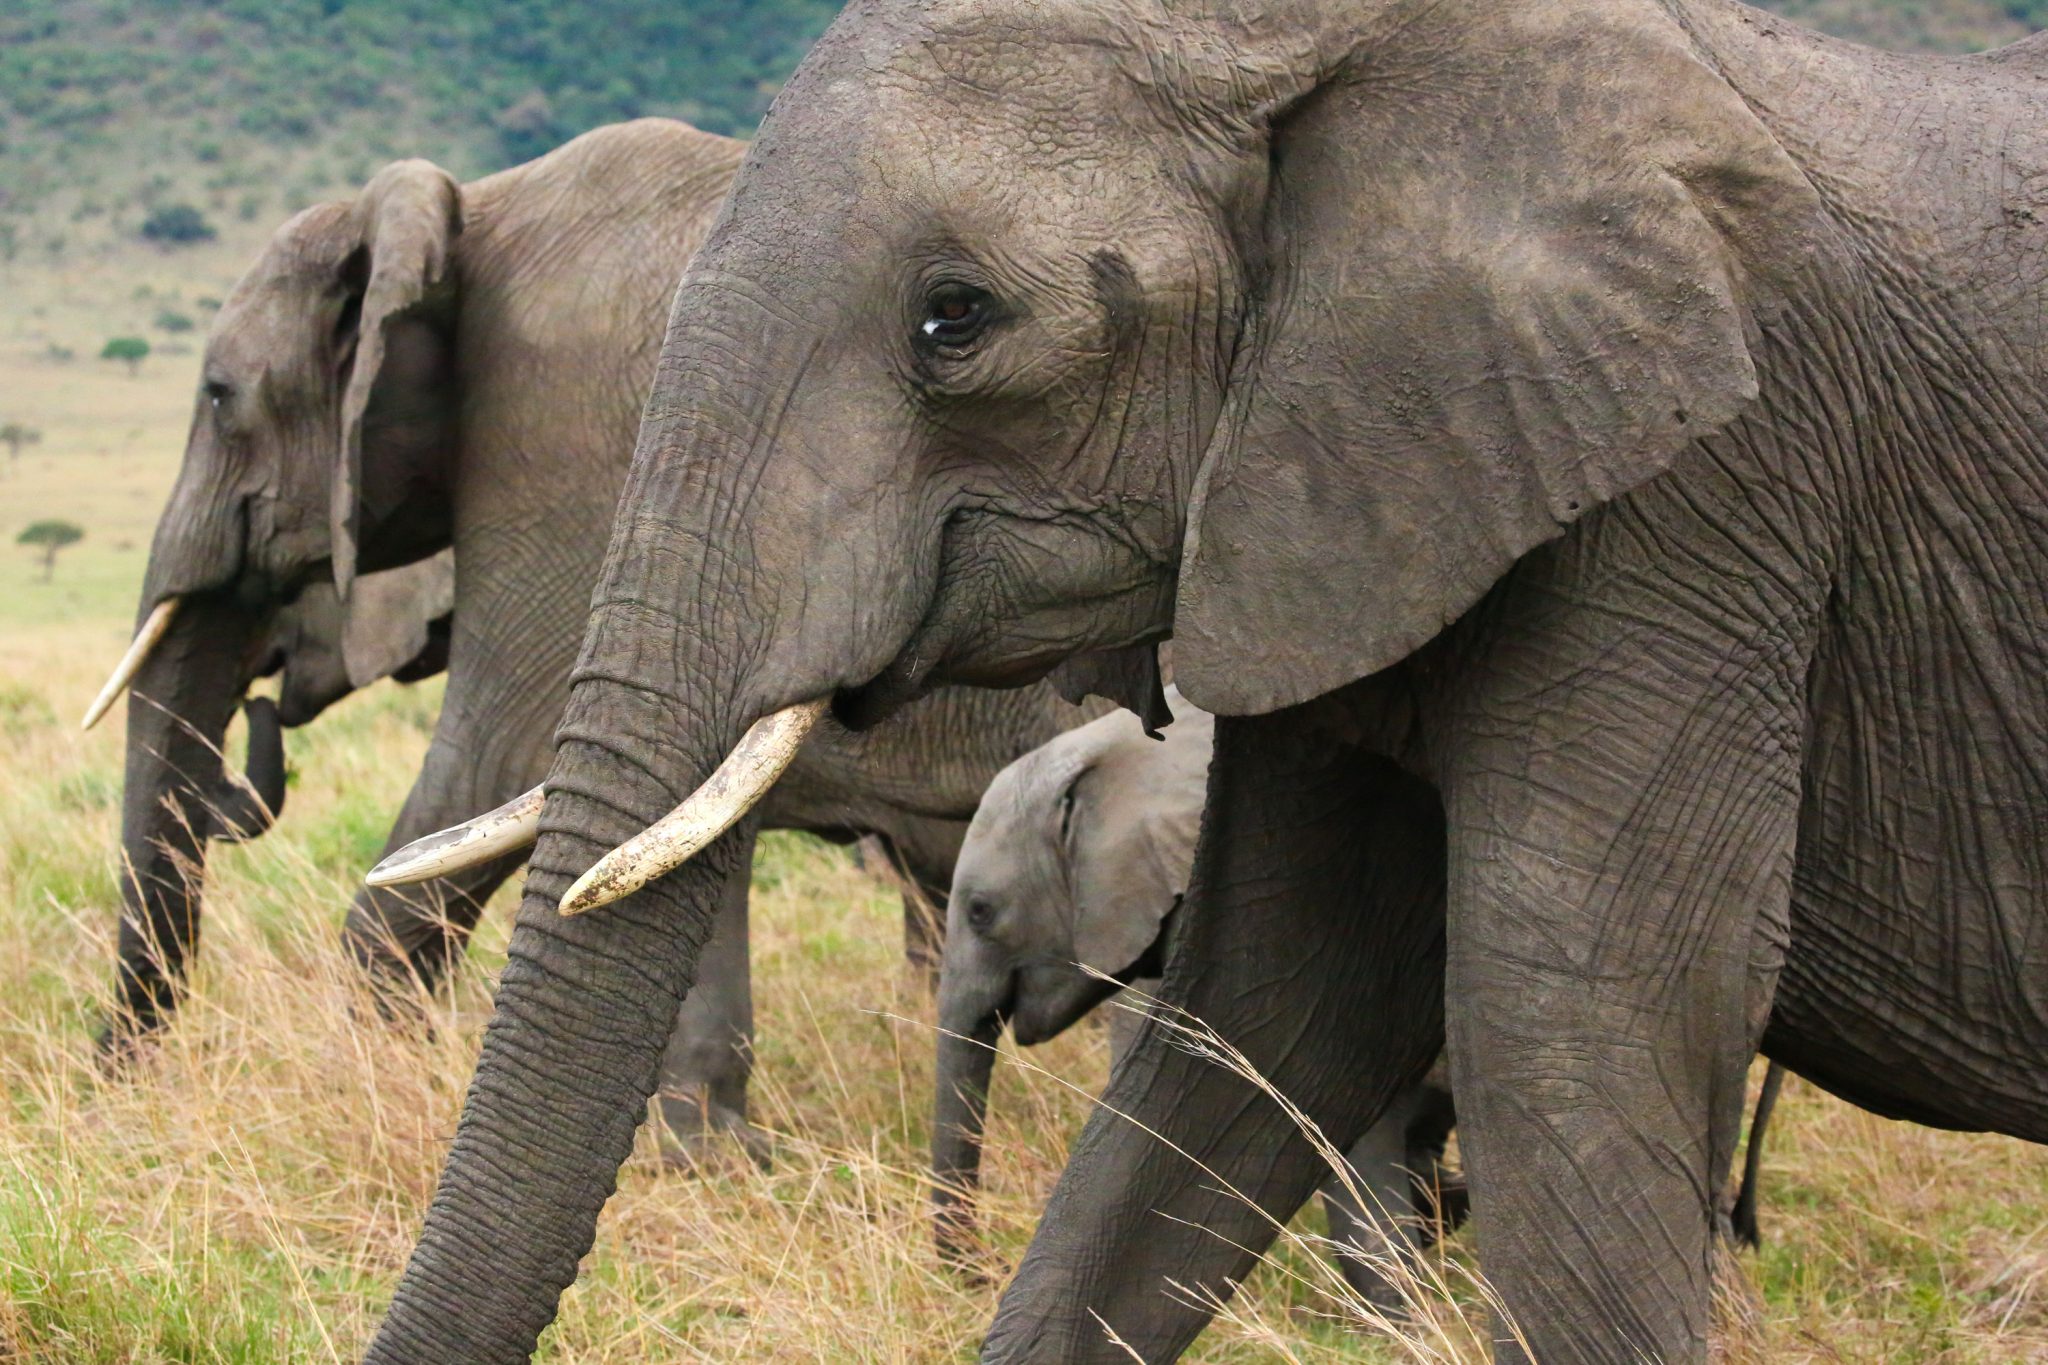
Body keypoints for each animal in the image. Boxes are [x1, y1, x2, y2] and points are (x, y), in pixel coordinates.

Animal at [84, 116, 1088, 1152]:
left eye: (216, 396)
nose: (106, 1099)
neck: (470, 211)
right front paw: (707, 1149)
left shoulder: (558, 452)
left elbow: (501, 766)